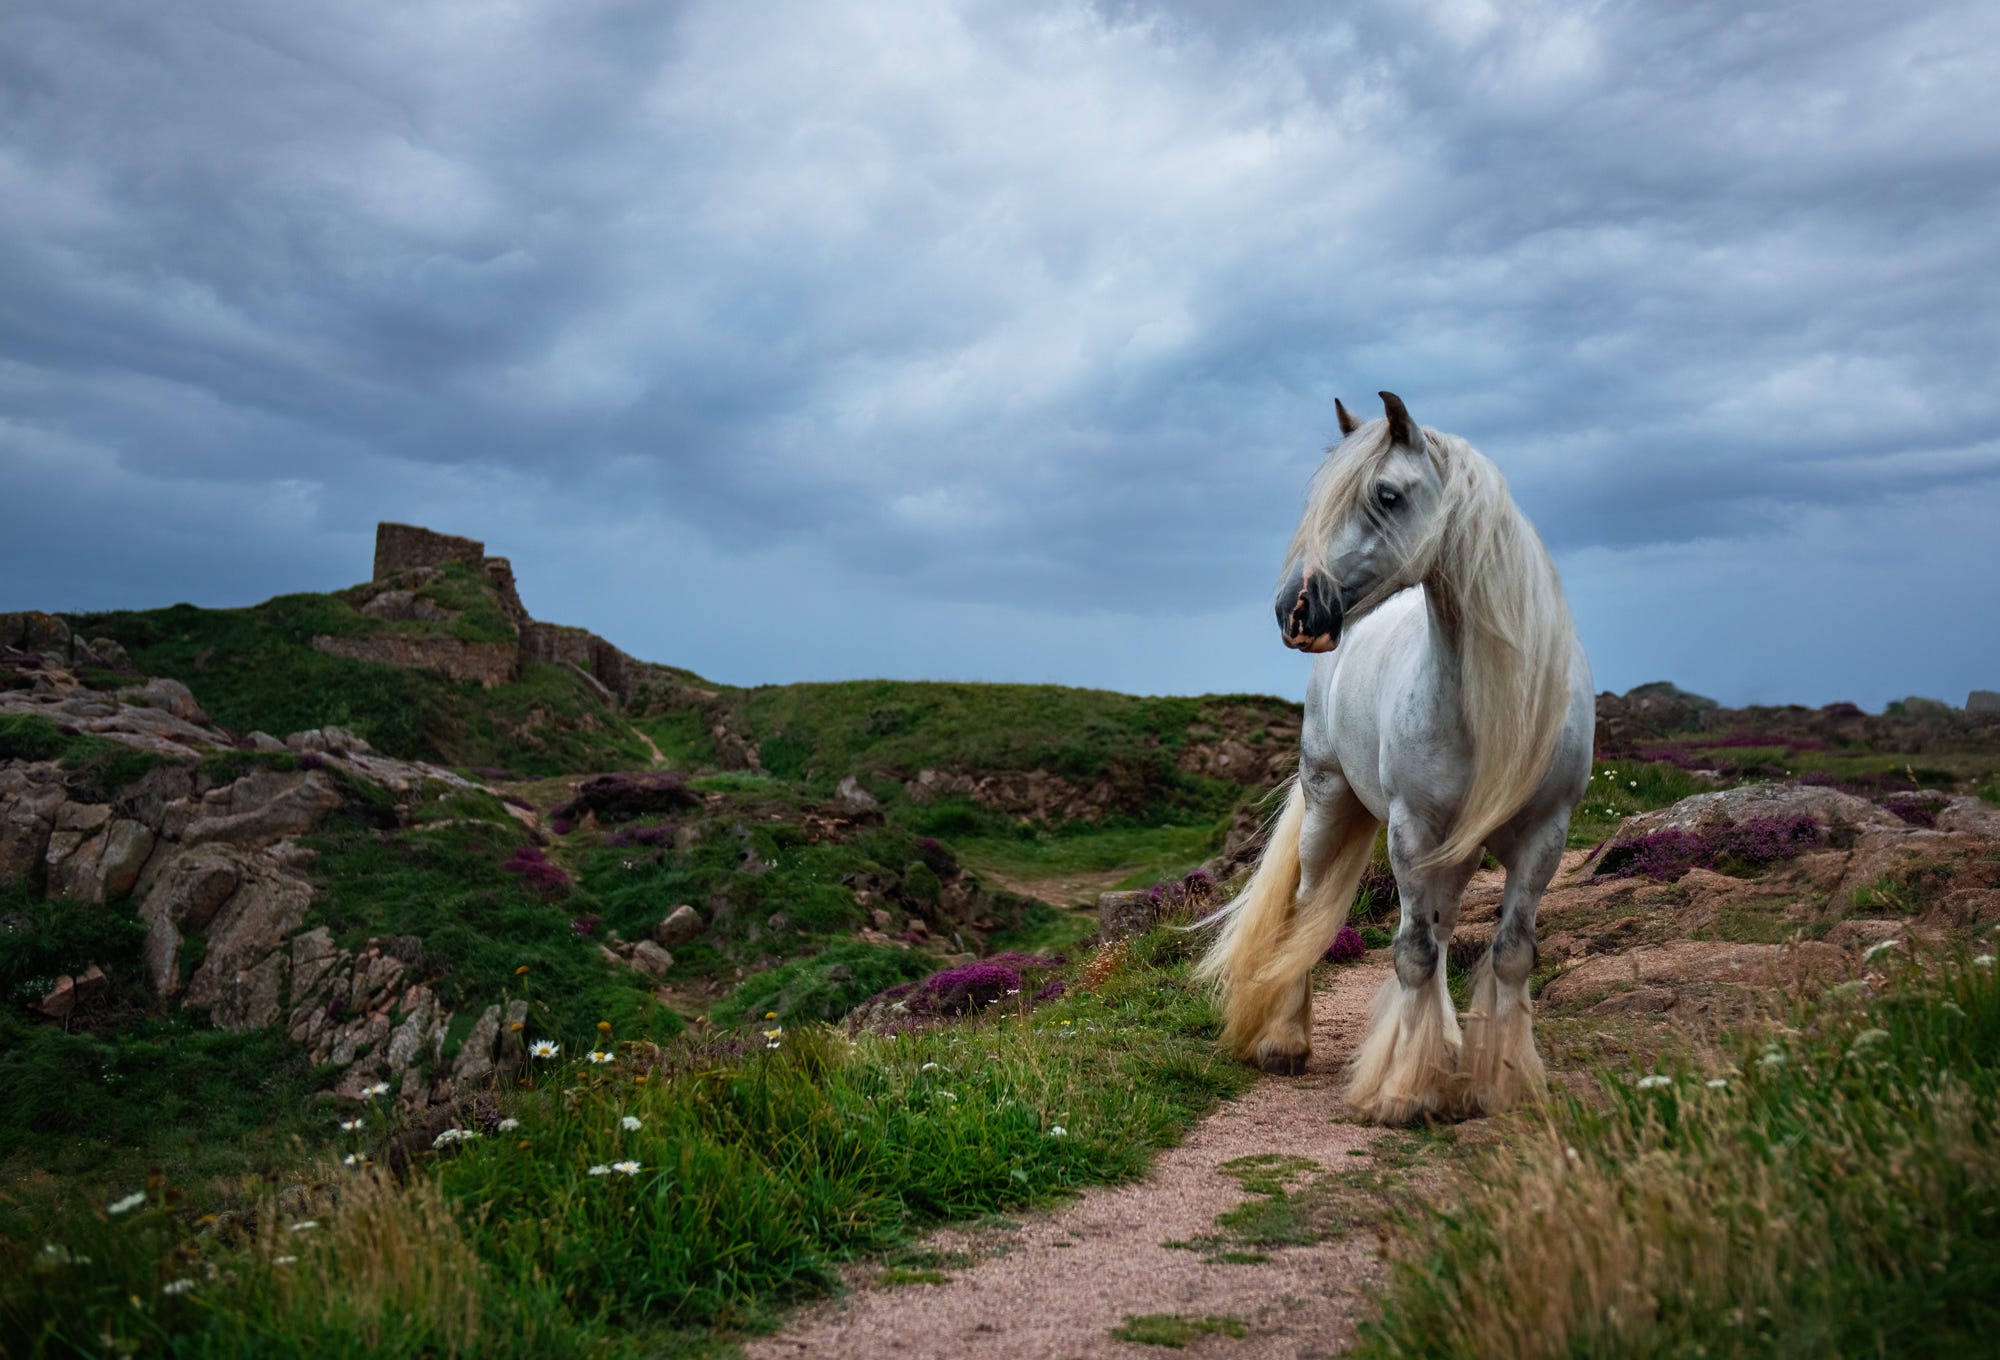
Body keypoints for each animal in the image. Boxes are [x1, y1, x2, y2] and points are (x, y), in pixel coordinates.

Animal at [1196, 391, 1593, 1123]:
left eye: (1386, 494)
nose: (1296, 610)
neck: (1486, 701)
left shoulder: (1544, 835)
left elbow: (1509, 954)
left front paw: (1500, 1083)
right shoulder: (1412, 830)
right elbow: (1411, 952)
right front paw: (1406, 1091)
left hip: (1457, 851)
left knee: (1442, 927)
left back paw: (1449, 1050)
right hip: (1329, 801)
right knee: (1310, 906)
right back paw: (1287, 1041)